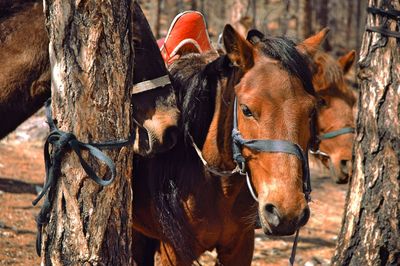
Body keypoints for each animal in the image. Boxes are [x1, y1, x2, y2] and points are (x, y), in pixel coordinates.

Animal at [133, 24, 320, 264]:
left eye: (311, 110)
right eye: (246, 109)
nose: (287, 212)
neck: (220, 188)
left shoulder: (240, 247)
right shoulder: (173, 252)